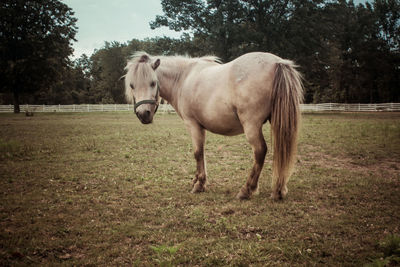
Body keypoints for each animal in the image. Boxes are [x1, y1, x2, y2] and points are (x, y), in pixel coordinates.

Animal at [125, 51, 304, 200]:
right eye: (132, 85)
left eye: (153, 83)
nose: (144, 114)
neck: (183, 78)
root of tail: (277, 63)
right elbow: (202, 153)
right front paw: (197, 180)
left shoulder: (193, 125)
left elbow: (197, 153)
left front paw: (199, 185)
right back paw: (279, 190)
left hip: (251, 126)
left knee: (260, 152)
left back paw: (247, 190)